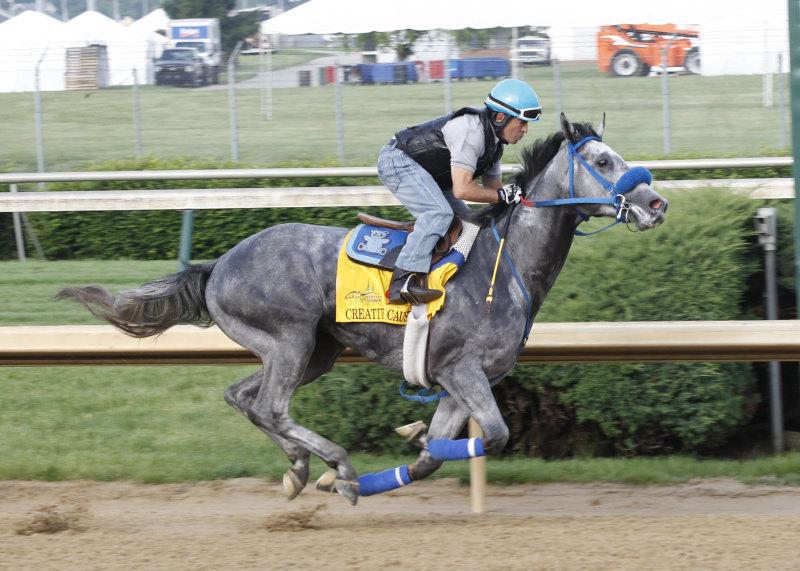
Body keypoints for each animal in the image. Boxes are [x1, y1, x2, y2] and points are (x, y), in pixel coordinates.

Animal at [57, 115, 668, 504]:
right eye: (603, 159)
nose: (657, 203)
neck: (506, 263)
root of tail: (218, 265)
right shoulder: (463, 370)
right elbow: (493, 436)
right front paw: (377, 460)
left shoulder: (453, 382)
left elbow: (432, 457)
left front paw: (411, 442)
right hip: (290, 339)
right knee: (271, 407)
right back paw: (338, 463)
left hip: (313, 352)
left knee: (243, 399)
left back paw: (304, 469)